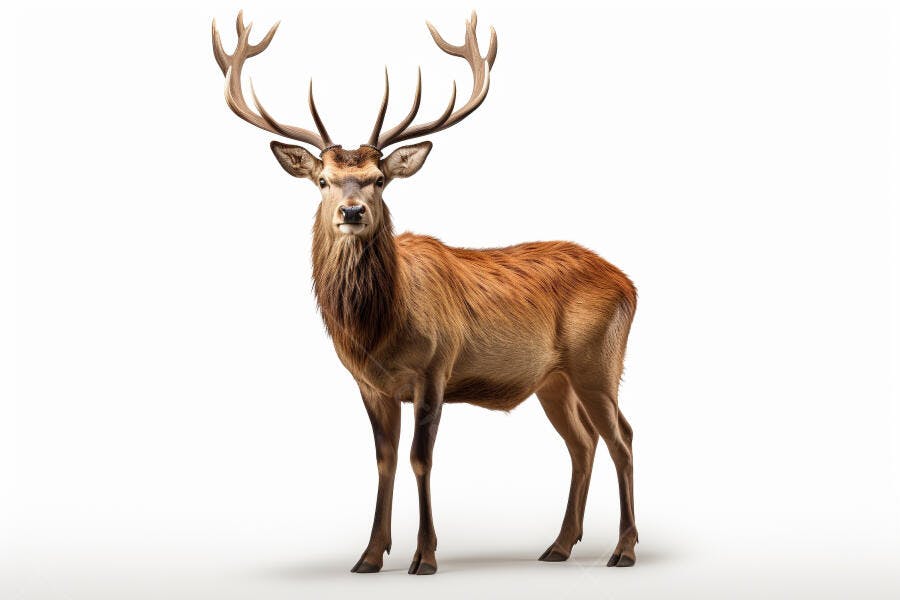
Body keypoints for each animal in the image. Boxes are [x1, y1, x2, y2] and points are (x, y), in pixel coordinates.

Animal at [212, 10, 638, 575]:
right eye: (323, 180)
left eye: (378, 179)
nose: (352, 211)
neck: (378, 331)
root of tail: (629, 283)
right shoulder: (369, 384)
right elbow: (385, 460)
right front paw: (369, 555)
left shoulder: (436, 367)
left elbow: (421, 458)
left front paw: (425, 555)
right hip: (554, 379)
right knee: (583, 443)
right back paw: (559, 545)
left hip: (599, 360)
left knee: (621, 438)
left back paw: (623, 549)